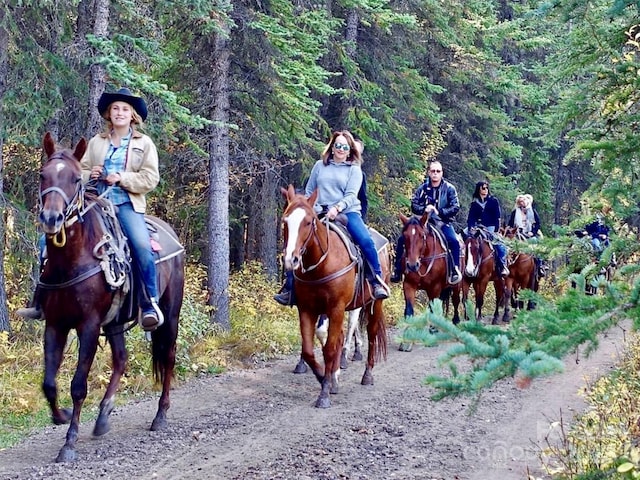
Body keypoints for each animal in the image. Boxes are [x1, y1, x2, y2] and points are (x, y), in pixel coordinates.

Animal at [38, 133, 185, 464]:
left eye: (74, 179)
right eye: (43, 175)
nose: (51, 218)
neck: (71, 260)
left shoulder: (89, 325)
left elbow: (78, 385)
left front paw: (69, 443)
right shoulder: (54, 324)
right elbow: (49, 383)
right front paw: (60, 415)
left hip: (170, 314)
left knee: (168, 357)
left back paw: (161, 416)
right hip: (116, 322)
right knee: (121, 359)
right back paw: (104, 416)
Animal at [282, 186, 390, 406]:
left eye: (308, 222)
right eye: (285, 221)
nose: (291, 259)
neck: (321, 264)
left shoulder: (336, 308)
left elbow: (330, 348)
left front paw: (324, 392)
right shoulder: (307, 309)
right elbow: (309, 349)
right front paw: (325, 376)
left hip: (373, 303)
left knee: (371, 333)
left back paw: (367, 375)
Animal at [400, 212, 460, 340]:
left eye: (422, 235)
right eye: (405, 235)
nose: (412, 265)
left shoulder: (435, 287)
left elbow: (433, 307)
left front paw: (433, 329)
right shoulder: (408, 284)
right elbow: (409, 309)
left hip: (457, 285)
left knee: (456, 301)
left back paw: (456, 321)